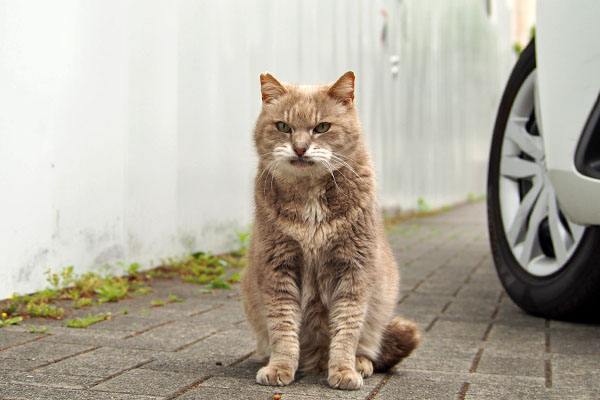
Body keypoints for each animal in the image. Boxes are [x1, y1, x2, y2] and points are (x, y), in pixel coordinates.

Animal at [241, 70, 420, 390]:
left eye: (322, 127)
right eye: (283, 126)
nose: (300, 147)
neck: (310, 196)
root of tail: (315, 361)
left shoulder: (354, 269)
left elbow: (347, 329)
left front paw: (344, 370)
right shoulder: (278, 267)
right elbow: (282, 327)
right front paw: (280, 367)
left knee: (367, 344)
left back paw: (360, 363)